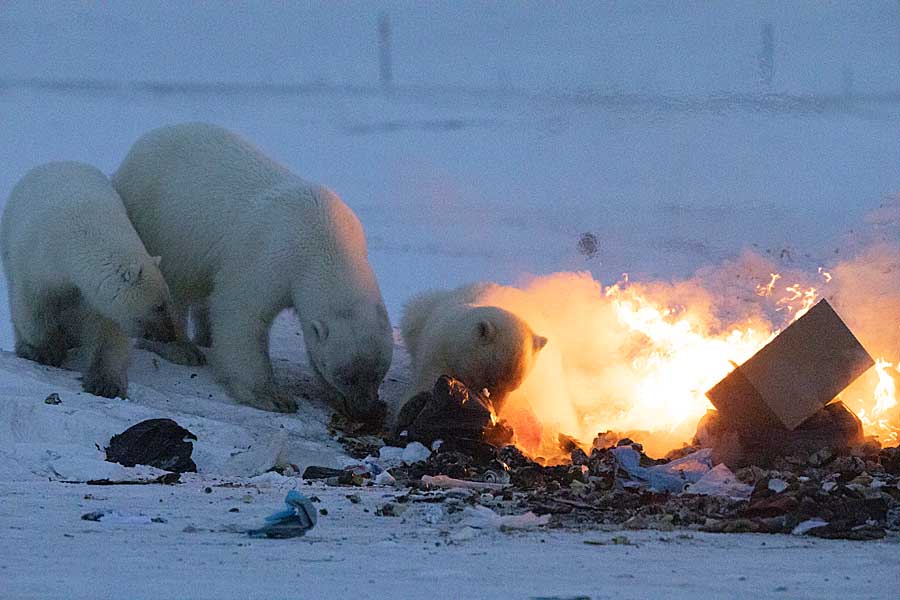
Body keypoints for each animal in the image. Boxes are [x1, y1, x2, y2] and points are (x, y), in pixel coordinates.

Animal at [0, 162, 194, 400]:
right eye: (159, 306)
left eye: (168, 301)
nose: (169, 335)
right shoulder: (37, 262)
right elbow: (33, 307)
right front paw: (47, 351)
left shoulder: (95, 296)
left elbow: (107, 332)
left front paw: (106, 383)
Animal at [110, 124, 392, 420]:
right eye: (345, 376)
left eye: (378, 373)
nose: (365, 410)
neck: (324, 236)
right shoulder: (270, 256)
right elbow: (242, 313)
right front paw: (273, 397)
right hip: (159, 225)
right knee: (173, 285)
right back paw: (181, 349)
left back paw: (205, 337)